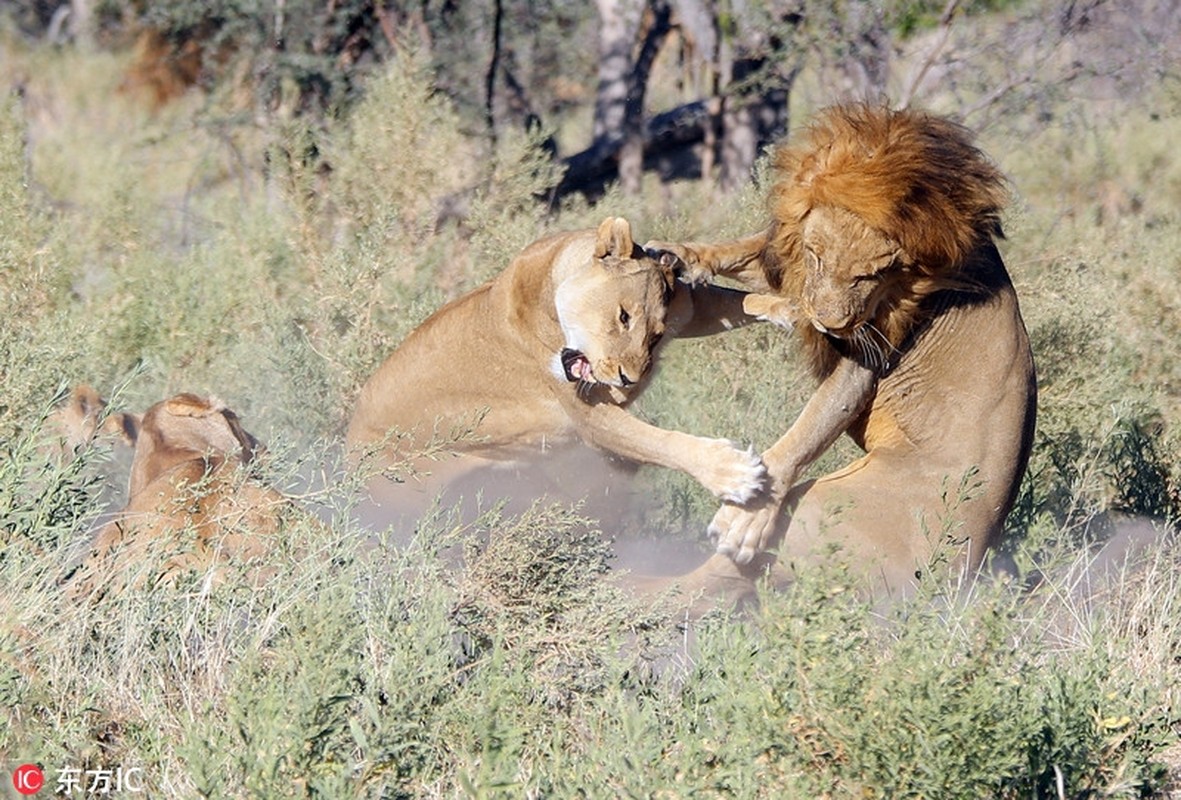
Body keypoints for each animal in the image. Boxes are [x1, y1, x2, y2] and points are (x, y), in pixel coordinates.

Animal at [344, 215, 765, 519]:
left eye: (657, 335)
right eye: (623, 316)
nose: (629, 378)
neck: (557, 273)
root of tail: (349, 447)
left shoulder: (689, 306)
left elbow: (739, 302)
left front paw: (778, 307)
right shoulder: (590, 417)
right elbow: (658, 442)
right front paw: (734, 472)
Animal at [642, 104, 1039, 605]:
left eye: (873, 275)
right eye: (816, 257)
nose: (830, 325)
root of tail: (954, 581)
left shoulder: (870, 351)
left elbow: (809, 428)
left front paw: (749, 512)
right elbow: (750, 252)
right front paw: (677, 254)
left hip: (813, 504)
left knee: (713, 583)